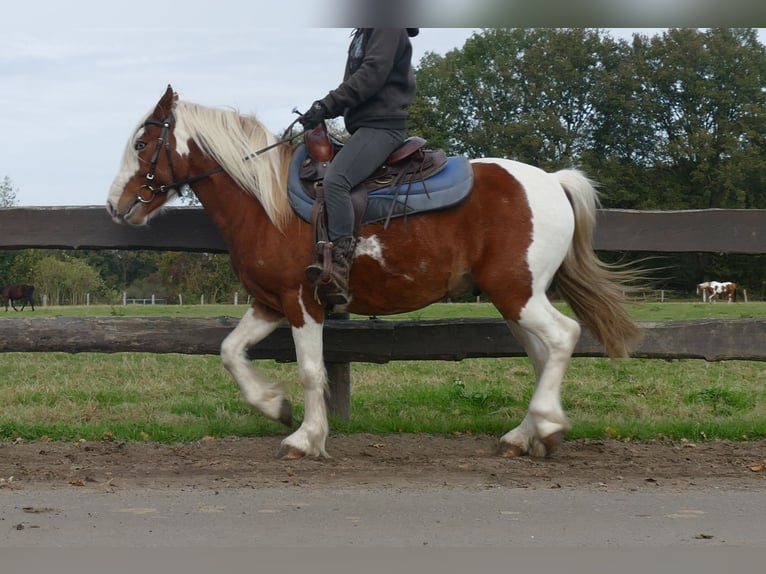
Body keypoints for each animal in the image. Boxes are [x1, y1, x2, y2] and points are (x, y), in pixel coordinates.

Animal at [103, 86, 640, 464]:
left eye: (142, 142)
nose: (115, 205)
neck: (266, 204)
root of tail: (551, 181)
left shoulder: (303, 301)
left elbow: (311, 370)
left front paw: (305, 438)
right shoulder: (269, 303)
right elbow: (230, 352)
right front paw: (274, 406)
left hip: (518, 293)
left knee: (564, 336)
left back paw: (545, 425)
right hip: (513, 297)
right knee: (542, 353)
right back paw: (526, 436)